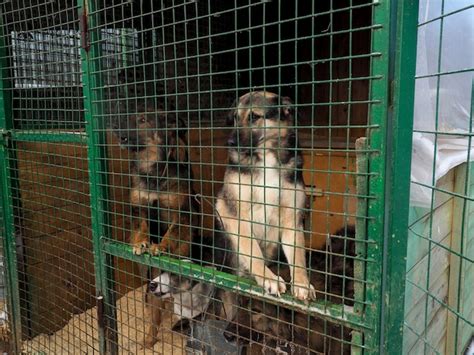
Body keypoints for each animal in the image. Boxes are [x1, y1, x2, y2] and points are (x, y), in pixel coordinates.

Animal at [111, 108, 200, 348]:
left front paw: (162, 246)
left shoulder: (182, 213)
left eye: (142, 119)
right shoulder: (140, 209)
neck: (152, 173)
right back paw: (148, 342)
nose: (114, 125)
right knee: (154, 312)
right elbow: (141, 228)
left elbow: (173, 232)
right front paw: (141, 243)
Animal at [216, 91, 314, 300]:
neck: (265, 157)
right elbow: (253, 250)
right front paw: (269, 279)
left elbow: (298, 256)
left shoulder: (292, 218)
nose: (230, 143)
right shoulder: (232, 213)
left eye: (254, 117)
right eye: (235, 117)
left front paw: (302, 283)